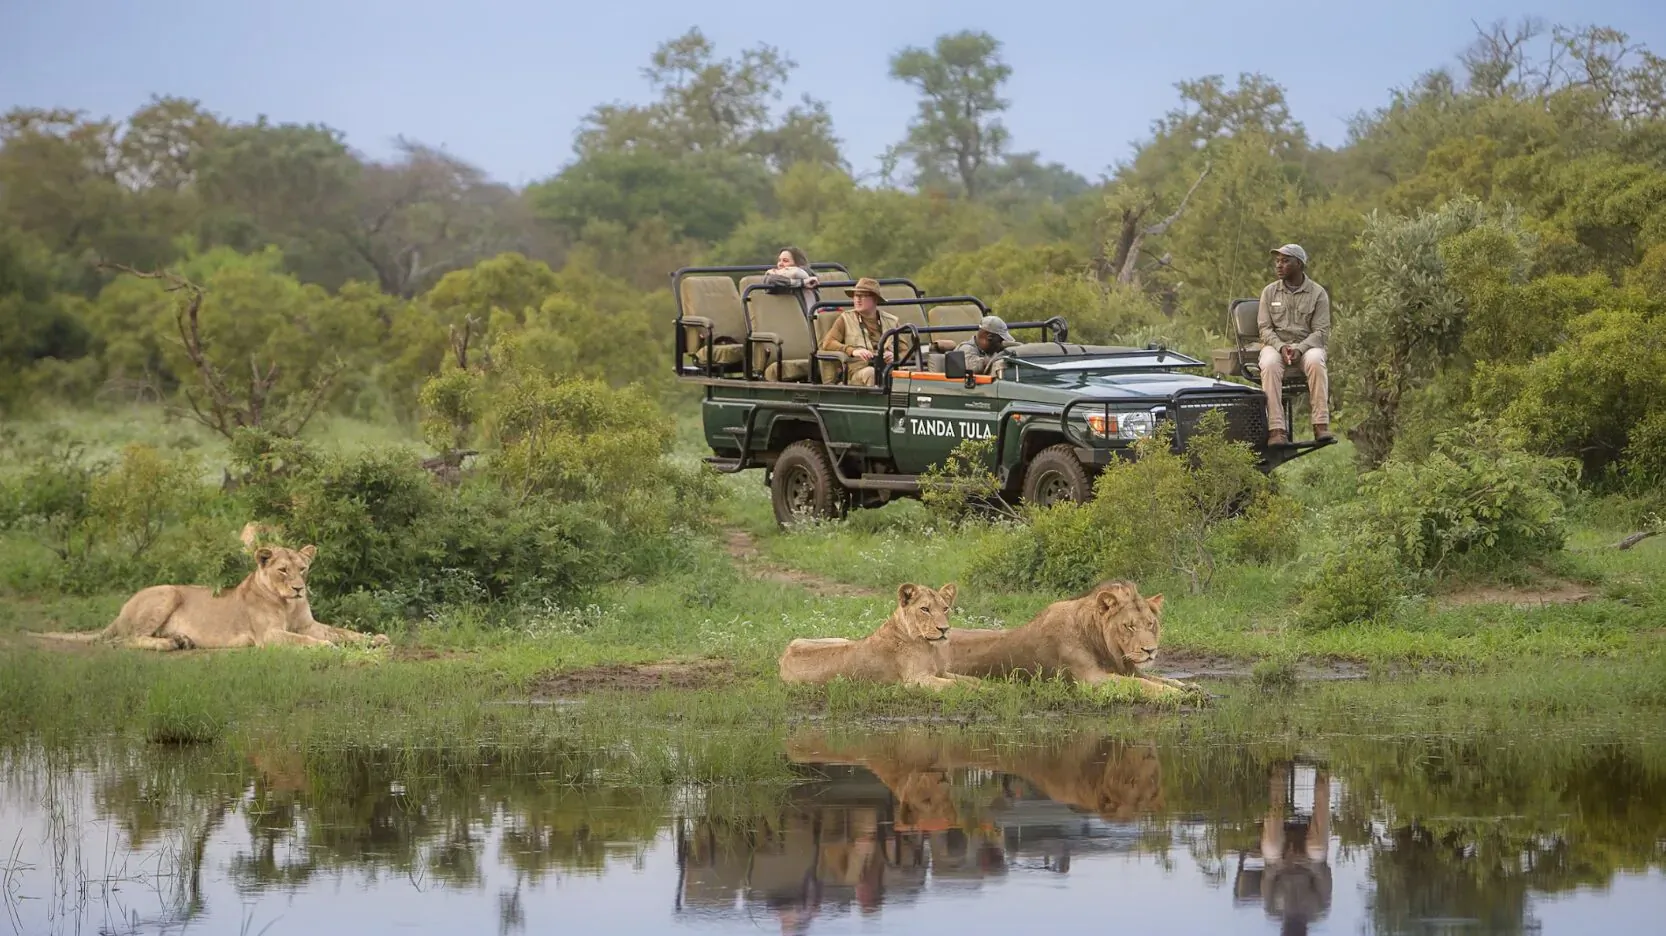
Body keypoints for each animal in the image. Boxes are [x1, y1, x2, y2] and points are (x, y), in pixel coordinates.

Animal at [34, 537, 388, 652]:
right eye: (282, 570)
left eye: (303, 568)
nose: (299, 588)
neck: (288, 605)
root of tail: (120, 611)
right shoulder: (270, 636)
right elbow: (305, 640)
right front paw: (326, 647)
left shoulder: (309, 624)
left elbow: (344, 631)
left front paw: (376, 638)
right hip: (166, 593)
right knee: (127, 639)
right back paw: (168, 644)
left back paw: (182, 640)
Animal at [777, 583, 981, 691]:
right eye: (925, 609)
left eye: (945, 608)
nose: (944, 629)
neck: (930, 647)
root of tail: (785, 654)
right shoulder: (915, 680)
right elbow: (956, 685)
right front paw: (984, 690)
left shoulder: (940, 672)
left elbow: (970, 679)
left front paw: (985, 684)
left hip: (840, 639)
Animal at [943, 580, 1195, 697]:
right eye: (1129, 626)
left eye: (1150, 624)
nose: (1150, 651)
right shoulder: (1089, 680)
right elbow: (1143, 684)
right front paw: (1175, 695)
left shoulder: (1129, 669)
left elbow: (1162, 679)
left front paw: (1191, 688)